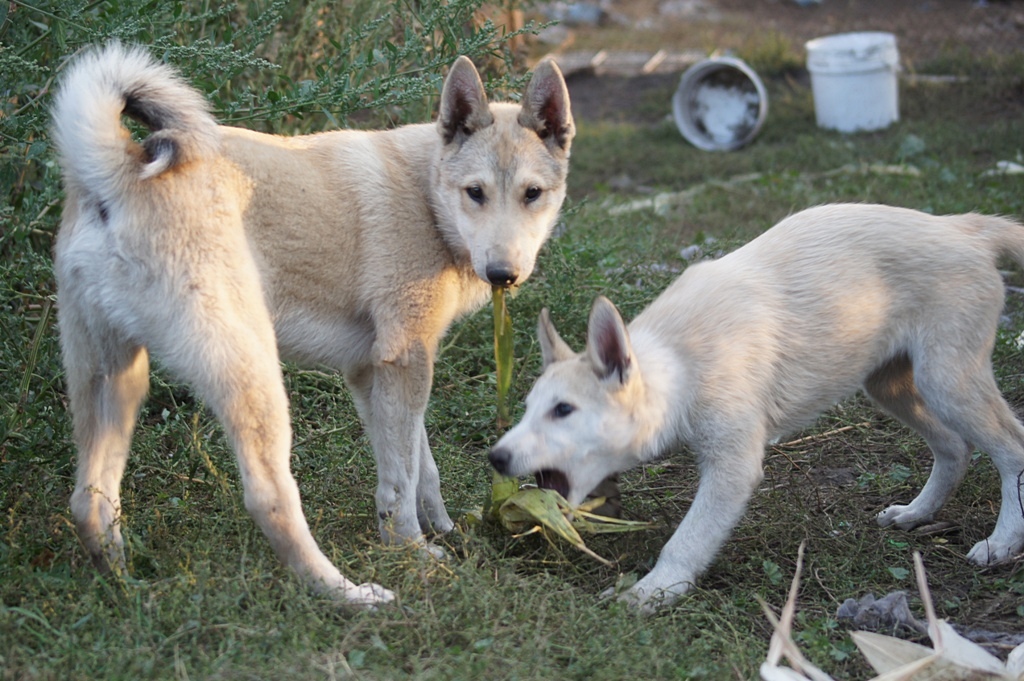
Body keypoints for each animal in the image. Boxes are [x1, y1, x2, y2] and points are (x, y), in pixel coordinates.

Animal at [54, 42, 577, 606]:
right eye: (474, 192)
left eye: (532, 193)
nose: (503, 274)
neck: (427, 196)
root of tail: (118, 173)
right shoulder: (406, 360)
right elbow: (402, 478)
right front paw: (413, 555)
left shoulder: (377, 372)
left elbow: (420, 466)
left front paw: (441, 529)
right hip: (256, 382)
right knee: (270, 499)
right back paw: (348, 594)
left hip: (114, 384)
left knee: (89, 502)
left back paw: (130, 592)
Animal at [487, 201, 1024, 610]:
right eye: (529, 408)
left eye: (563, 410)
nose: (495, 458)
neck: (680, 363)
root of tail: (962, 227)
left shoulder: (733, 466)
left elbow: (687, 540)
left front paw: (655, 591)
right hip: (890, 385)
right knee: (954, 448)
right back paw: (916, 513)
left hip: (947, 381)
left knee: (1011, 449)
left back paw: (1002, 542)